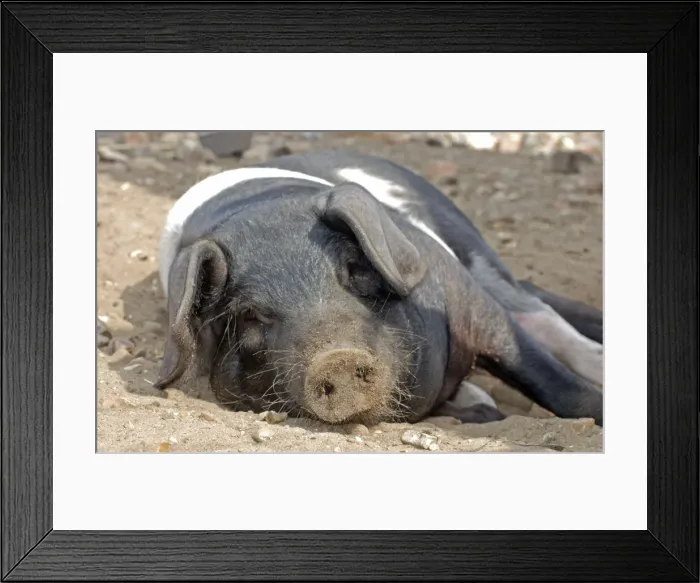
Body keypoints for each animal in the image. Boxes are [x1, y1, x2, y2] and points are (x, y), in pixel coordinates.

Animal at [154, 150, 603, 427]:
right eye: (249, 315)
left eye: (353, 270)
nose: (336, 358)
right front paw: (482, 408)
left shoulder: (467, 296)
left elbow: (552, 380)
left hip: (474, 248)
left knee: (535, 307)